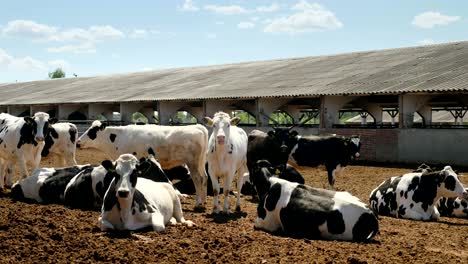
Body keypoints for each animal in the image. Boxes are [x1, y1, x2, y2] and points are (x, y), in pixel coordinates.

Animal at [77, 120, 208, 209]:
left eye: (91, 132)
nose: (77, 142)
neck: (118, 138)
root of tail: (197, 127)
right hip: (201, 163)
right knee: (205, 177)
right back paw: (204, 201)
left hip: (193, 163)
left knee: (198, 179)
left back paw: (198, 203)